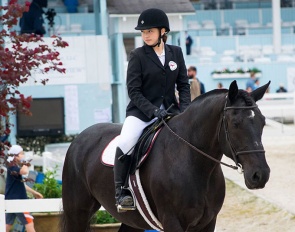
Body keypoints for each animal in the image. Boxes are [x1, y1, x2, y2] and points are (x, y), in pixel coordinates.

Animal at [61, 80, 272, 231]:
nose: (260, 175)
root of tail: (80, 138)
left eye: (262, 122)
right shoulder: (173, 221)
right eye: (235, 123)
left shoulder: (208, 222)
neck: (194, 163)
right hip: (76, 212)